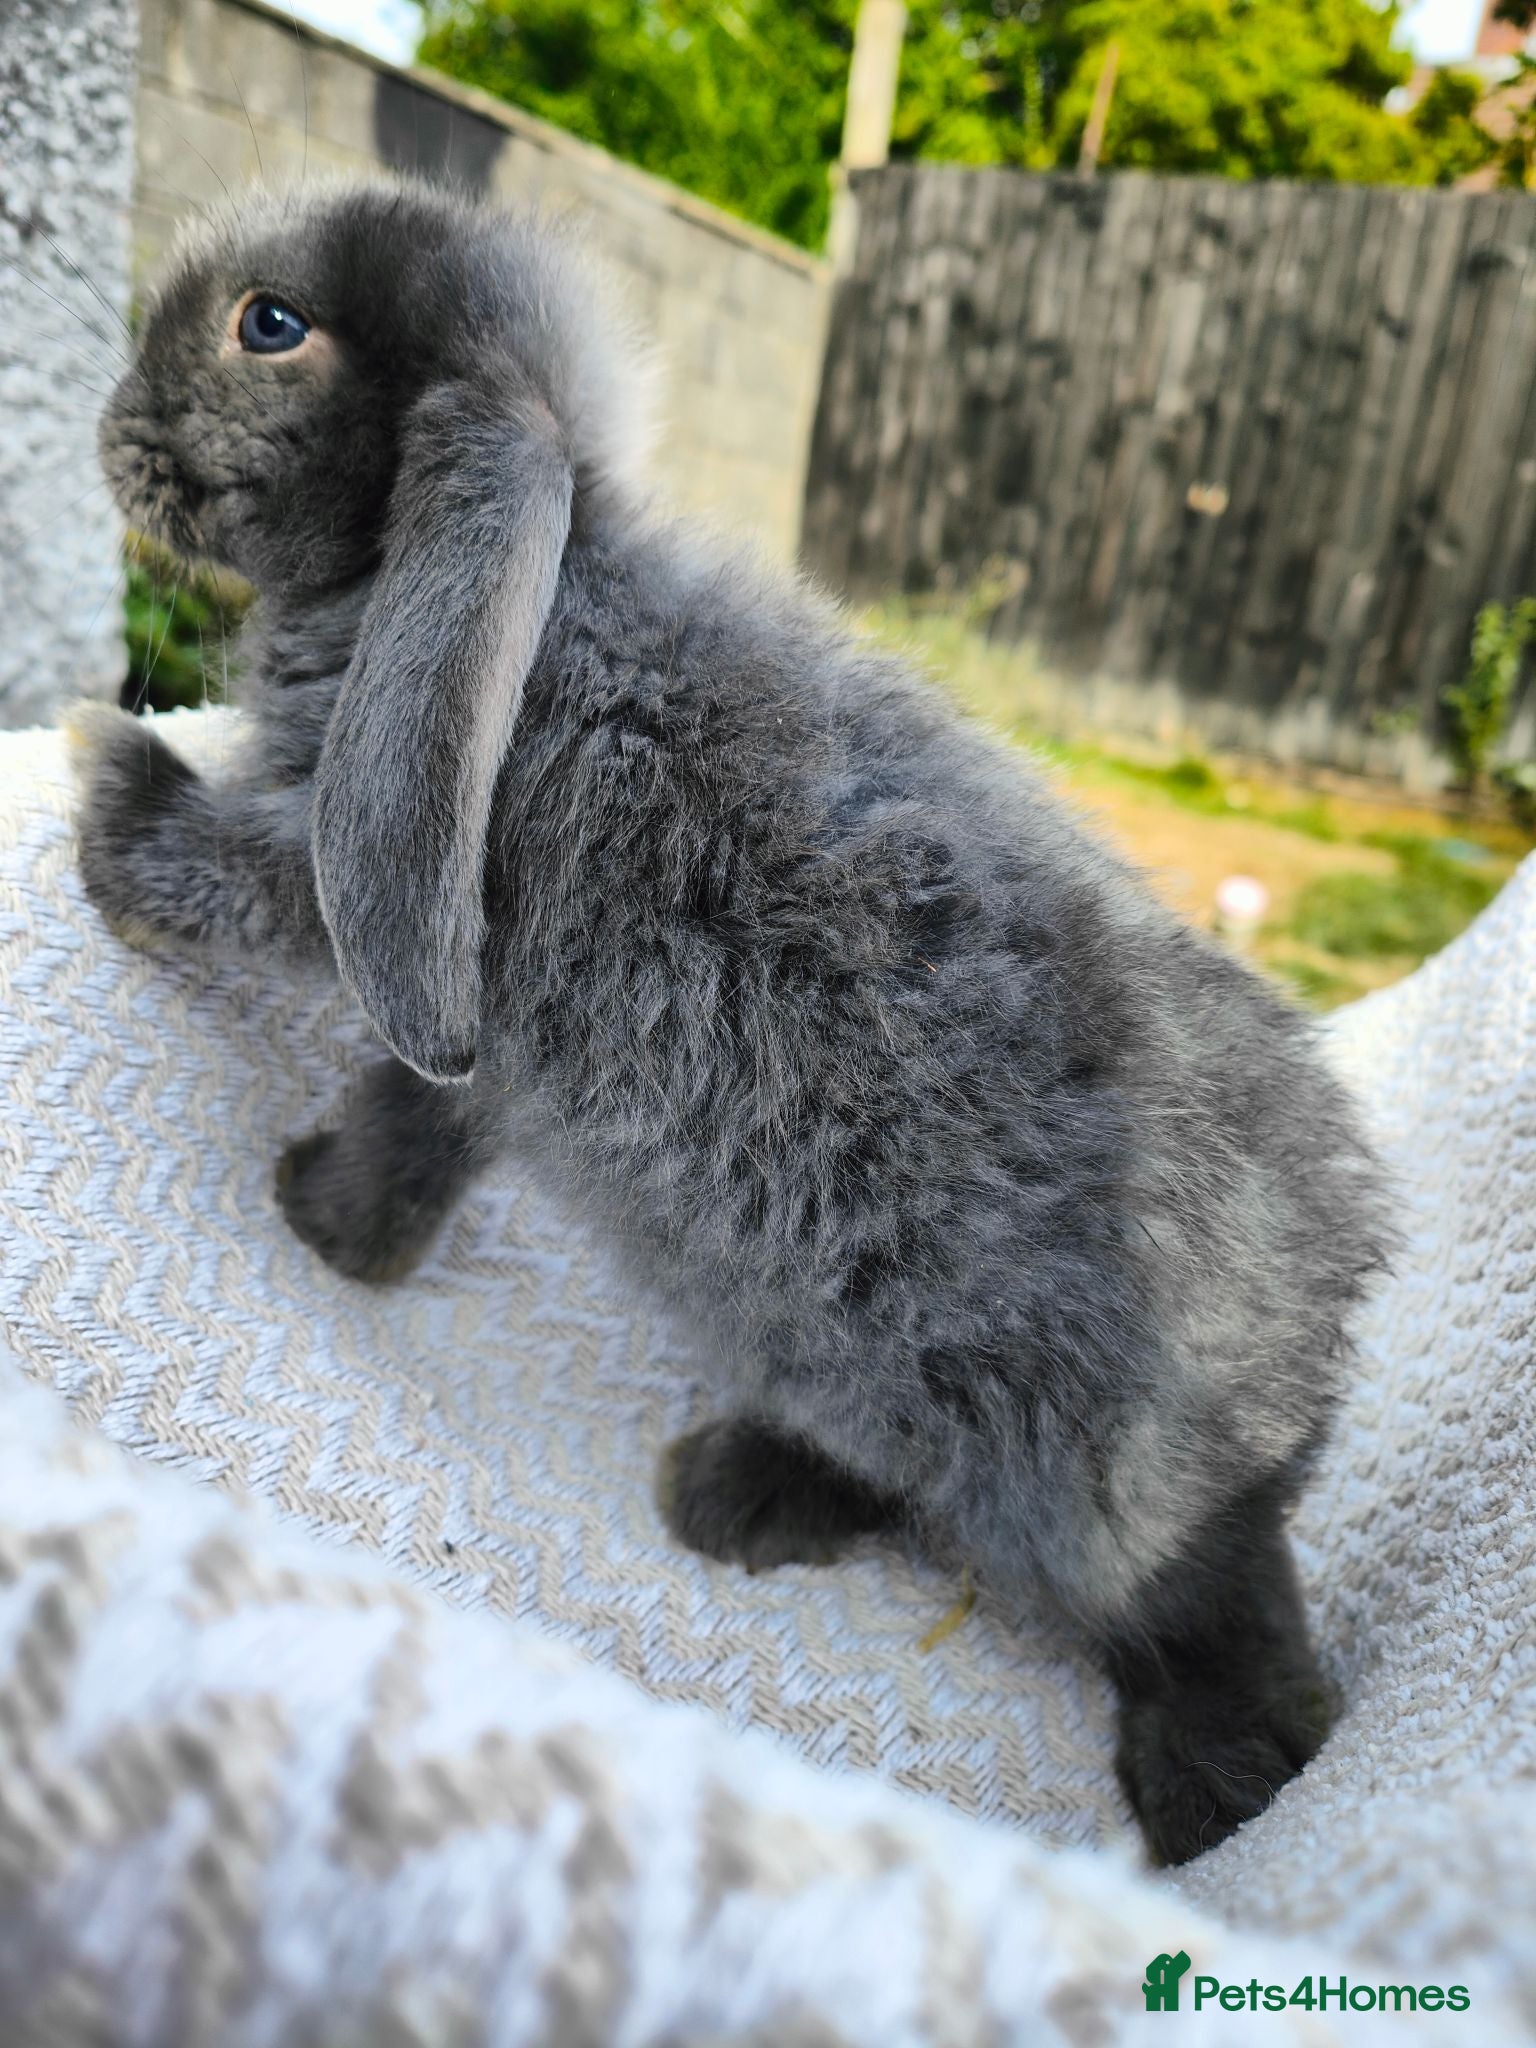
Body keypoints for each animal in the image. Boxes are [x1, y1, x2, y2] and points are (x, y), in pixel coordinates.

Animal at [72, 176, 1390, 1866]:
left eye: (271, 324)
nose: (112, 428)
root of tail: (1308, 1370)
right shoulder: (472, 1016)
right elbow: (422, 1115)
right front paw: (335, 1224)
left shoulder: (349, 863)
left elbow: (234, 890)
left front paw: (110, 793)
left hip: (1005, 1414)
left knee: (1201, 1610)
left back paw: (1199, 1783)